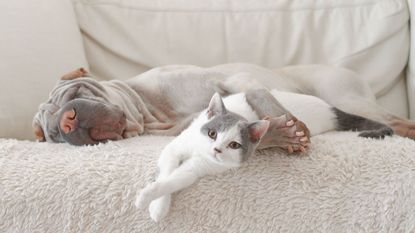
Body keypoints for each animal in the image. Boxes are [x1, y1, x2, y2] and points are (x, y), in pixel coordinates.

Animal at [136, 89, 394, 222]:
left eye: (233, 145)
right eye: (212, 133)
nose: (216, 149)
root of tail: (328, 107)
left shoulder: (204, 166)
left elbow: (178, 178)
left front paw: (155, 204)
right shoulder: (176, 147)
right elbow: (167, 167)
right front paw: (155, 204)